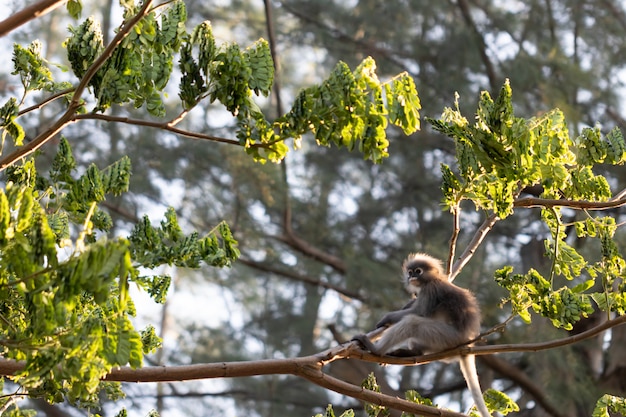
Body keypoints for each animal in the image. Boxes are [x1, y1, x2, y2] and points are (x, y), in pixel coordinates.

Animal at [352, 252, 488, 416]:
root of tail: (468, 342)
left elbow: (418, 312)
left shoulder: (430, 290)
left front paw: (387, 318)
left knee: (413, 322)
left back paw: (375, 349)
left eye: (418, 271)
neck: (433, 279)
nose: (412, 277)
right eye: (410, 272)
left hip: (447, 337)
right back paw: (410, 352)